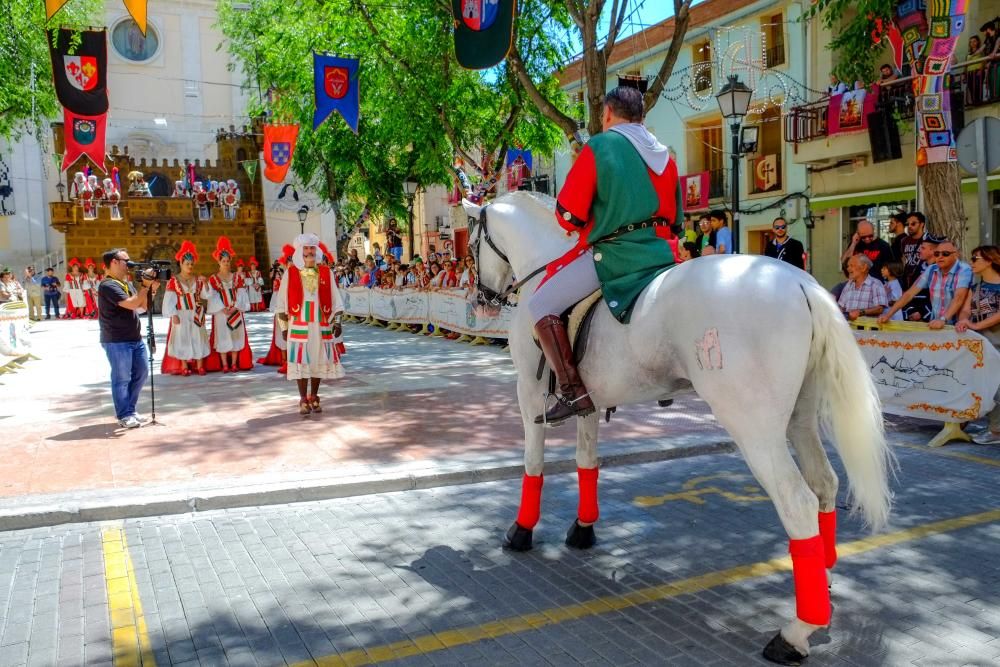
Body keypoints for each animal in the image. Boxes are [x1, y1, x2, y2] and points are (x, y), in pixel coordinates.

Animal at [464, 190, 896, 664]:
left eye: (470, 244)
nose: (481, 299)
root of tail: (802, 283)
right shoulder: (588, 402)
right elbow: (586, 461)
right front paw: (583, 529)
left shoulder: (528, 392)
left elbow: (533, 464)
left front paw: (521, 531)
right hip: (799, 419)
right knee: (824, 485)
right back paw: (824, 585)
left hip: (755, 428)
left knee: (797, 502)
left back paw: (796, 631)